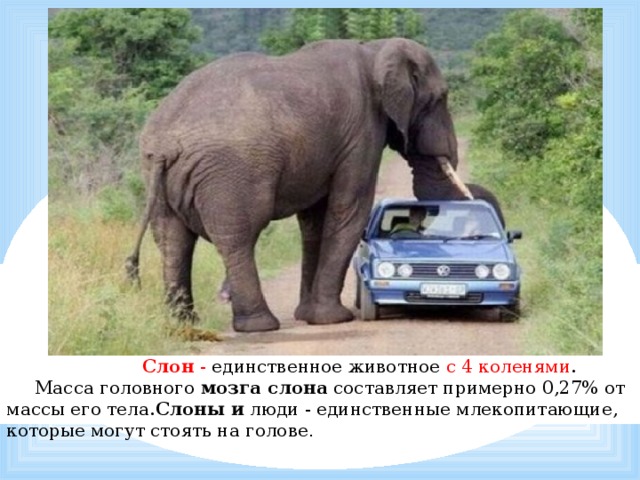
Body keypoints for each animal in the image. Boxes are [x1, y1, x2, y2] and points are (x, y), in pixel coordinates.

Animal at [125, 38, 472, 333]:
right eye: (440, 99)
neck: (374, 50)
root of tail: (166, 143)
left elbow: (314, 222)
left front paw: (308, 316)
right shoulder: (361, 134)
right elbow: (349, 211)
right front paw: (333, 320)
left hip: (155, 173)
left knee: (173, 241)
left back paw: (184, 325)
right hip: (230, 172)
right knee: (238, 237)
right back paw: (259, 326)